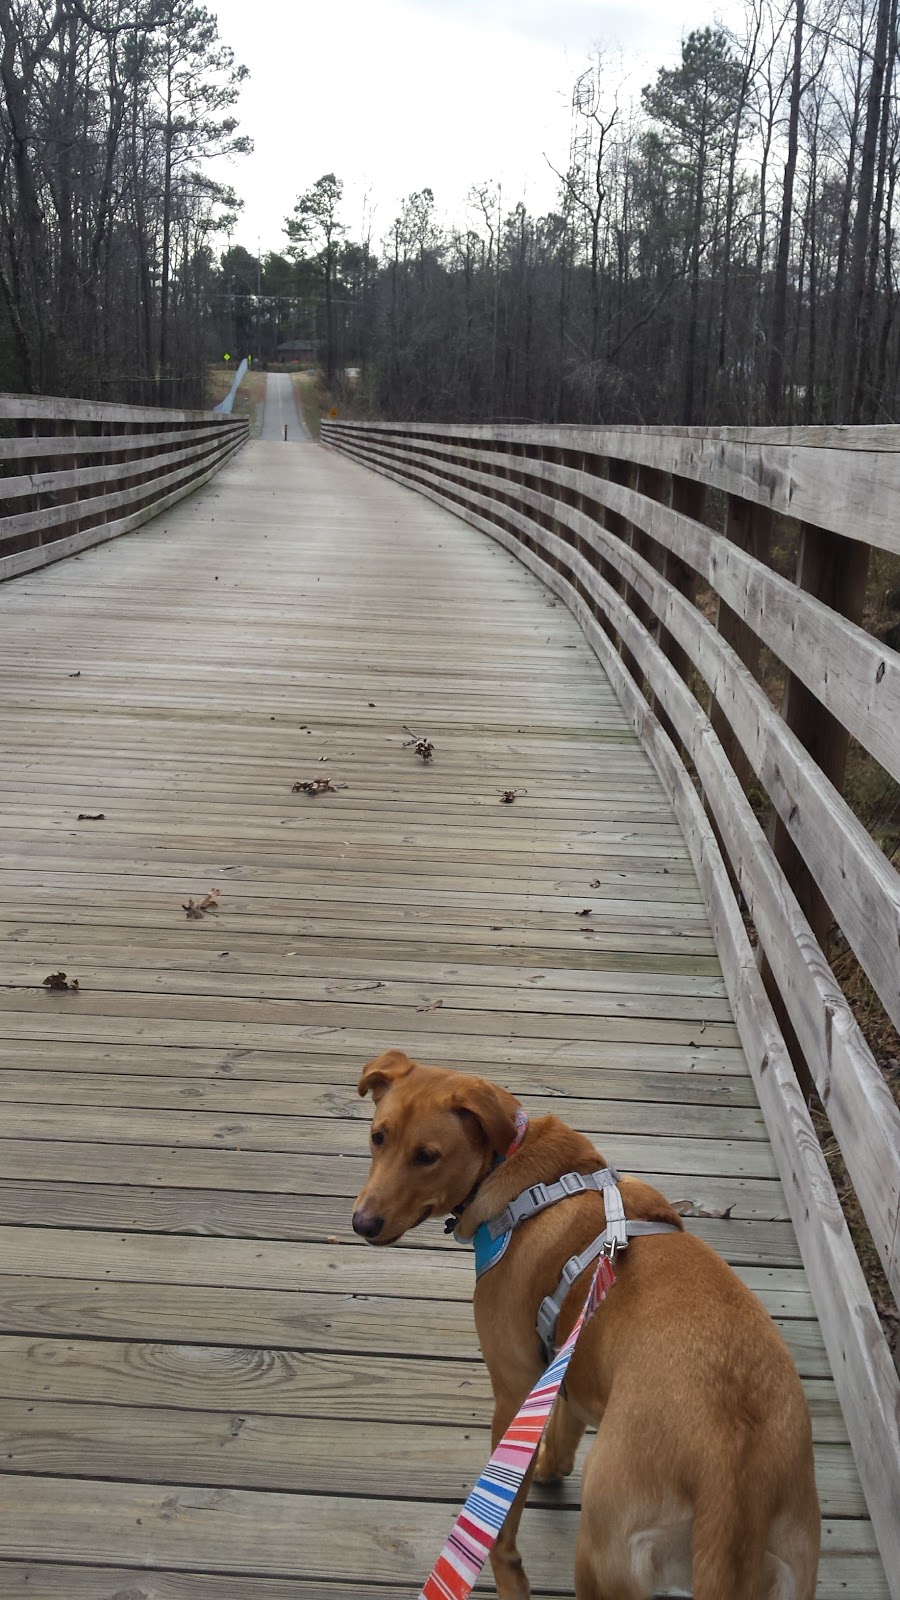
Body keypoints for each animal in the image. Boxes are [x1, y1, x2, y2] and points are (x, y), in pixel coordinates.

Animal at [353, 1049, 816, 1600]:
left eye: (427, 1156)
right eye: (378, 1136)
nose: (362, 1224)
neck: (521, 1173)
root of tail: (731, 1477)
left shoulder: (515, 1389)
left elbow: (502, 1526)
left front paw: (510, 1580)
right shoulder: (566, 1371)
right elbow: (562, 1435)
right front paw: (550, 1469)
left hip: (602, 1556)